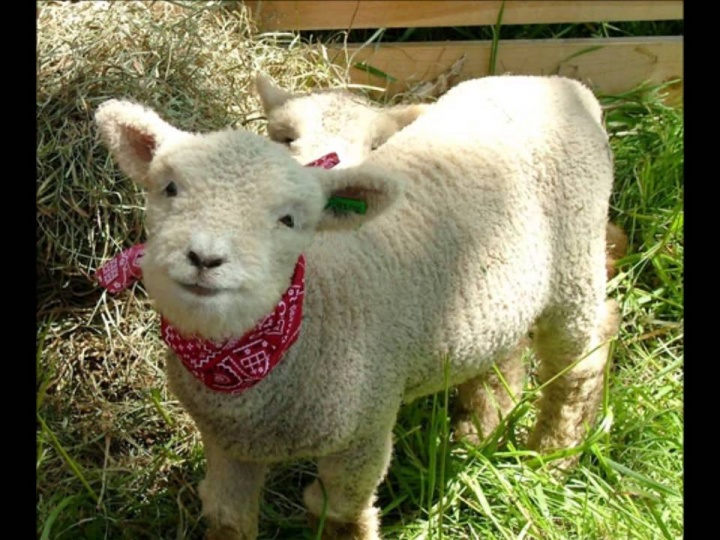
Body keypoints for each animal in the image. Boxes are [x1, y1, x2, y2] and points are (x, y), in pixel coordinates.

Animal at [95, 76, 620, 540]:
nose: (205, 257)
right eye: (169, 188)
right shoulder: (227, 443)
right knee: (503, 353)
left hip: (575, 263)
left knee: (584, 354)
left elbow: (341, 518)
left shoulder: (364, 433)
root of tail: (561, 85)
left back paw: (552, 456)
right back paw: (478, 431)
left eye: (289, 220)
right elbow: (228, 519)